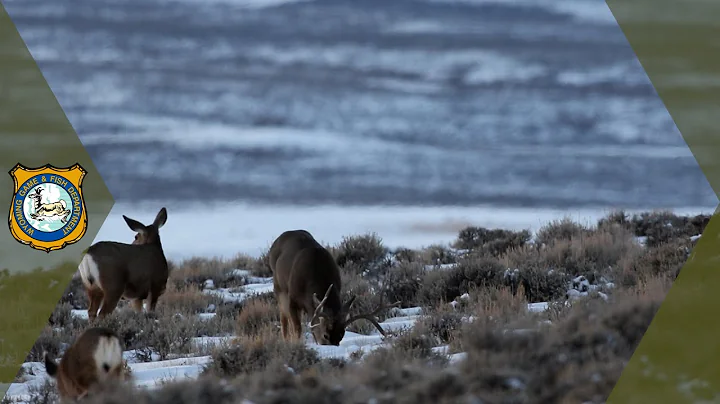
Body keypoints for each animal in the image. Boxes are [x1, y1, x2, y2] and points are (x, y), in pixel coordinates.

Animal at [267, 229, 401, 346]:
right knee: (283, 317)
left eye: (341, 335)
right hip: (278, 286)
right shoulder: (293, 299)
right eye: (325, 335)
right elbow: (297, 329)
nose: (330, 346)